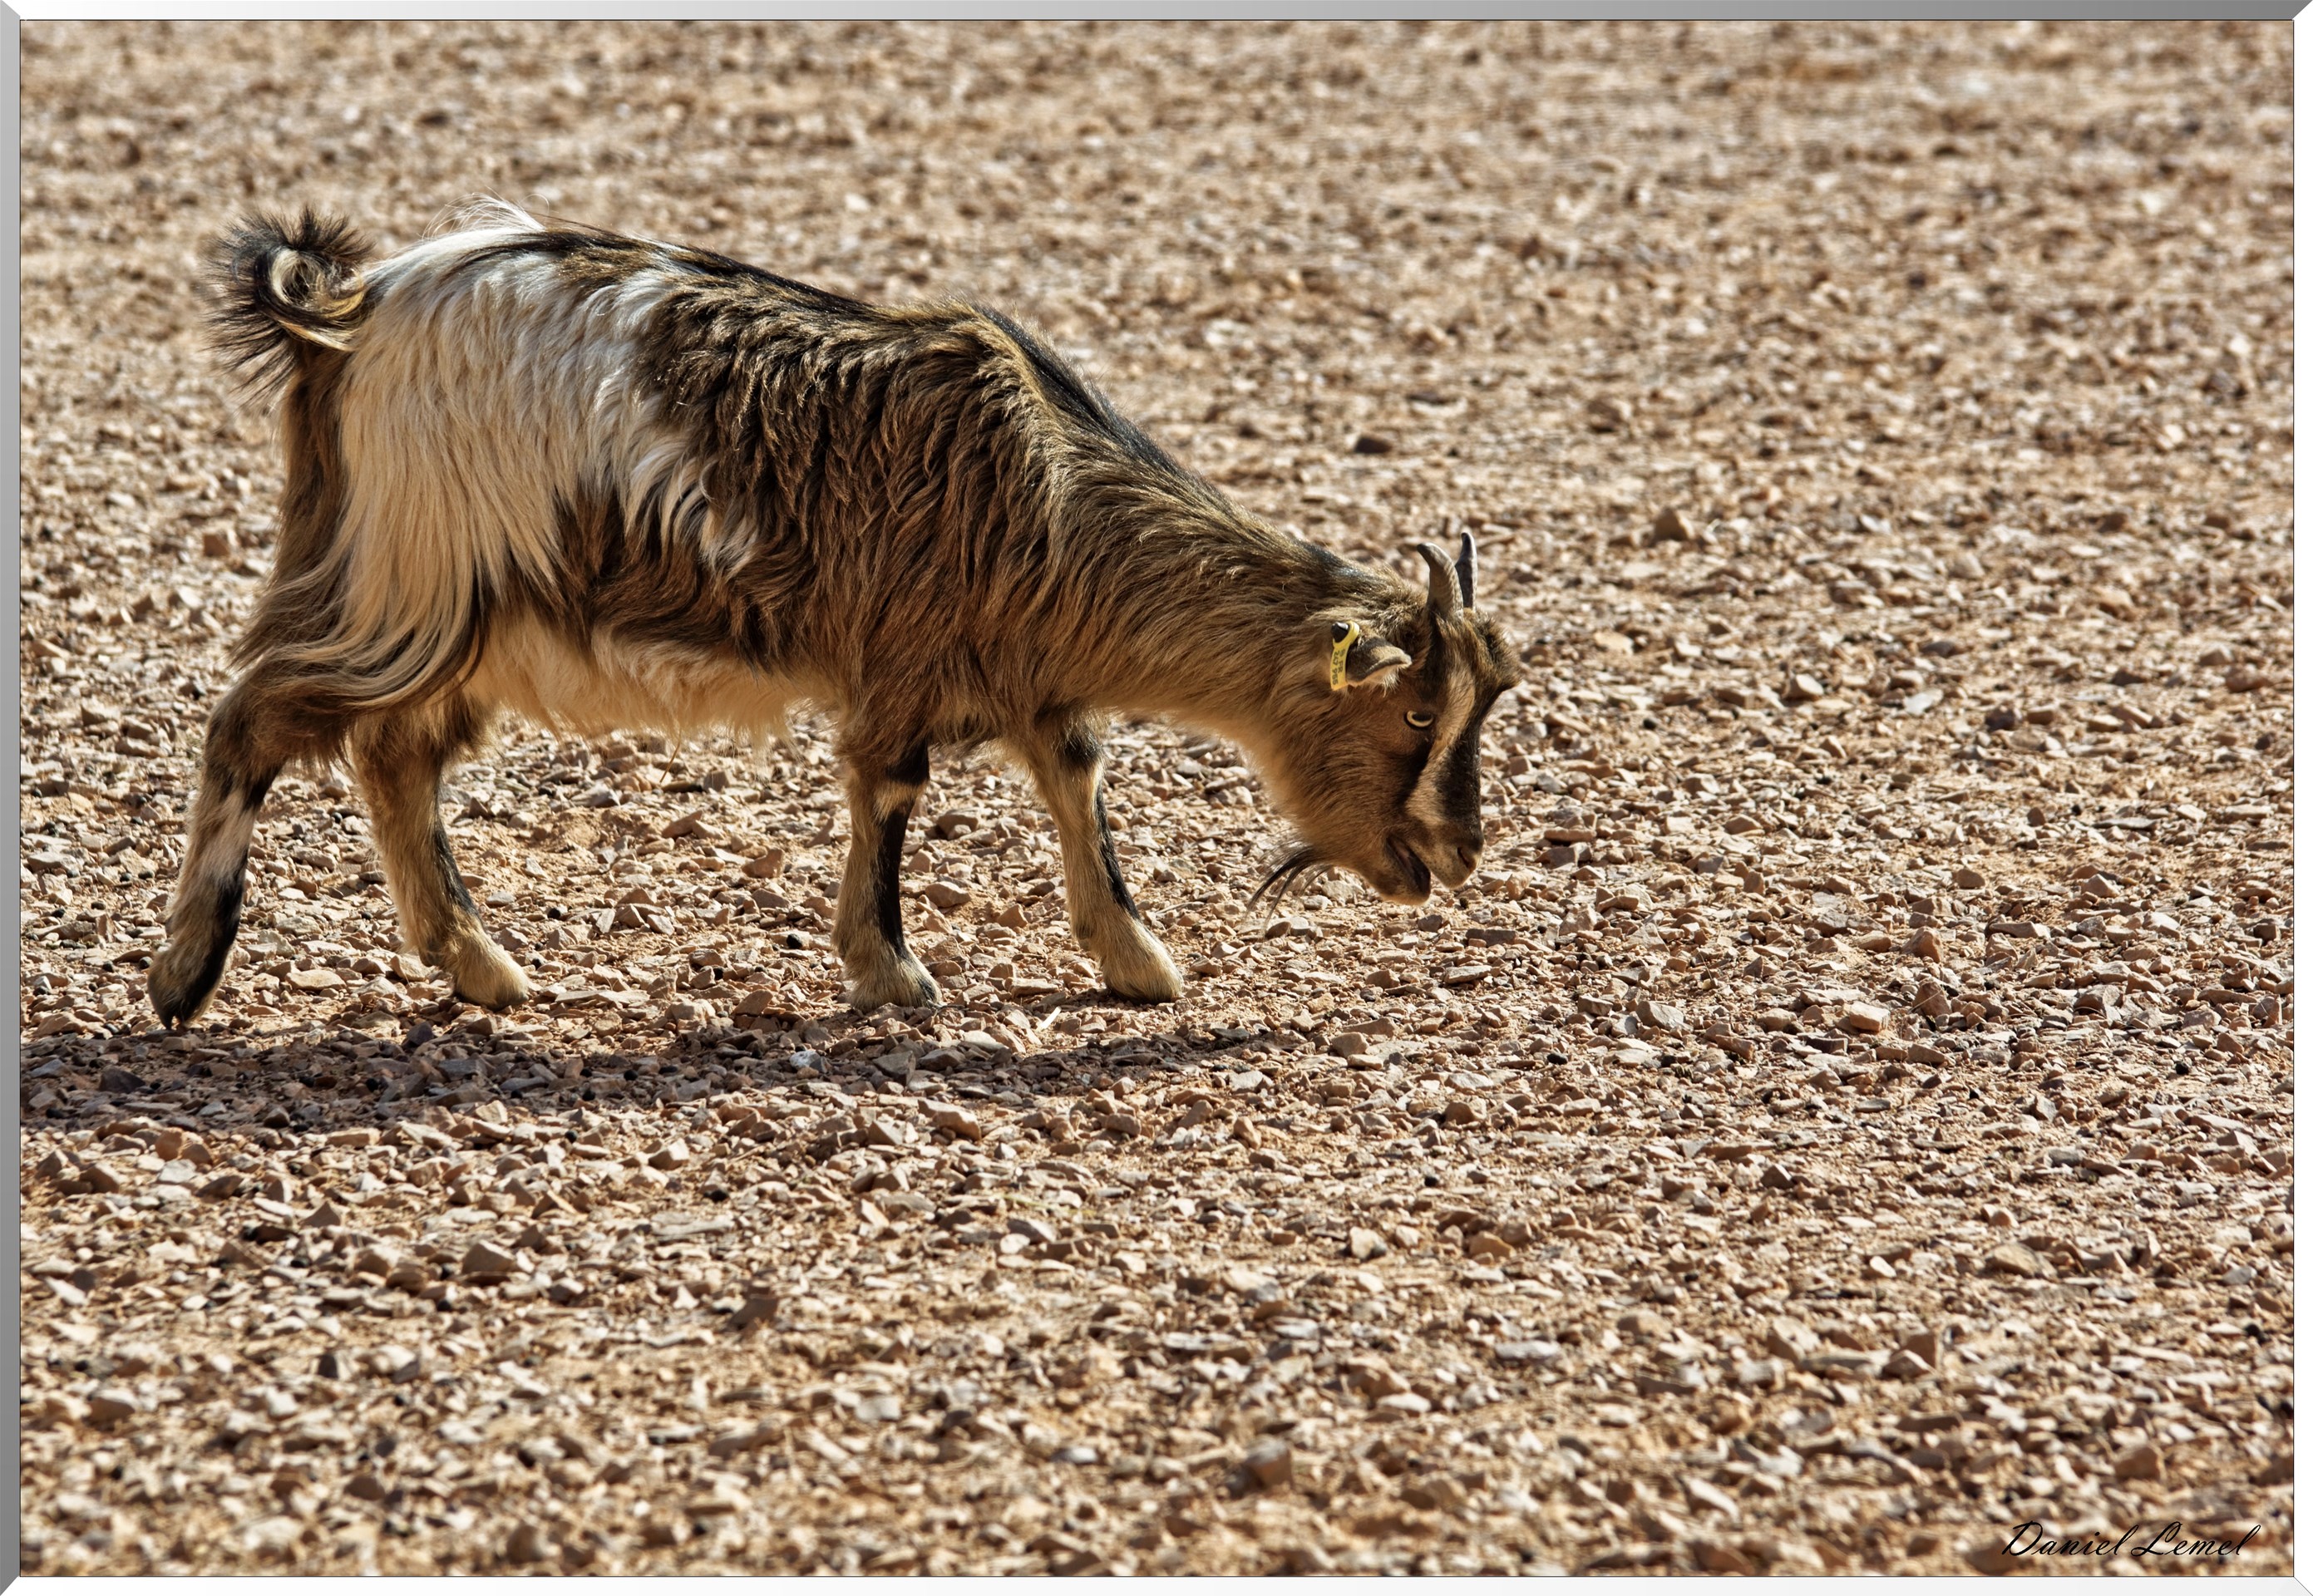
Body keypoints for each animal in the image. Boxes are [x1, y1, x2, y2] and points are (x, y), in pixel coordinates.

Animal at [150, 201, 1518, 1028]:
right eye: (1413, 713)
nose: (1457, 852)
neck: (1049, 500)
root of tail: (348, 310)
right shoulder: (904, 657)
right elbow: (893, 789)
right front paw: (893, 969)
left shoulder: (1023, 676)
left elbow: (1075, 780)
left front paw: (1135, 961)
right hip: (414, 587)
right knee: (258, 718)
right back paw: (182, 973)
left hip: (448, 617)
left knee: (393, 758)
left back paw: (482, 968)